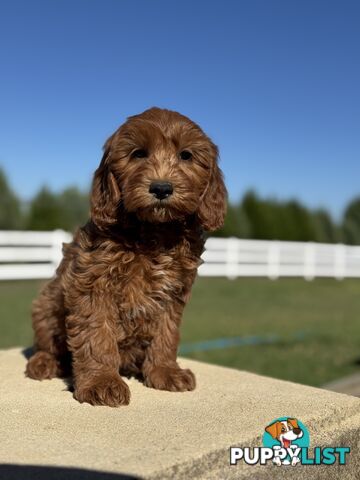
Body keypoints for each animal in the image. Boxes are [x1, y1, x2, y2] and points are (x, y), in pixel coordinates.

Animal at [26, 107, 226, 406]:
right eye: (138, 154)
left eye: (186, 155)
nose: (161, 188)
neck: (153, 231)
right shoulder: (93, 282)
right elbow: (96, 335)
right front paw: (101, 382)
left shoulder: (173, 291)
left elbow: (166, 333)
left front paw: (165, 371)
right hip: (46, 303)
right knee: (47, 343)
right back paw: (44, 362)